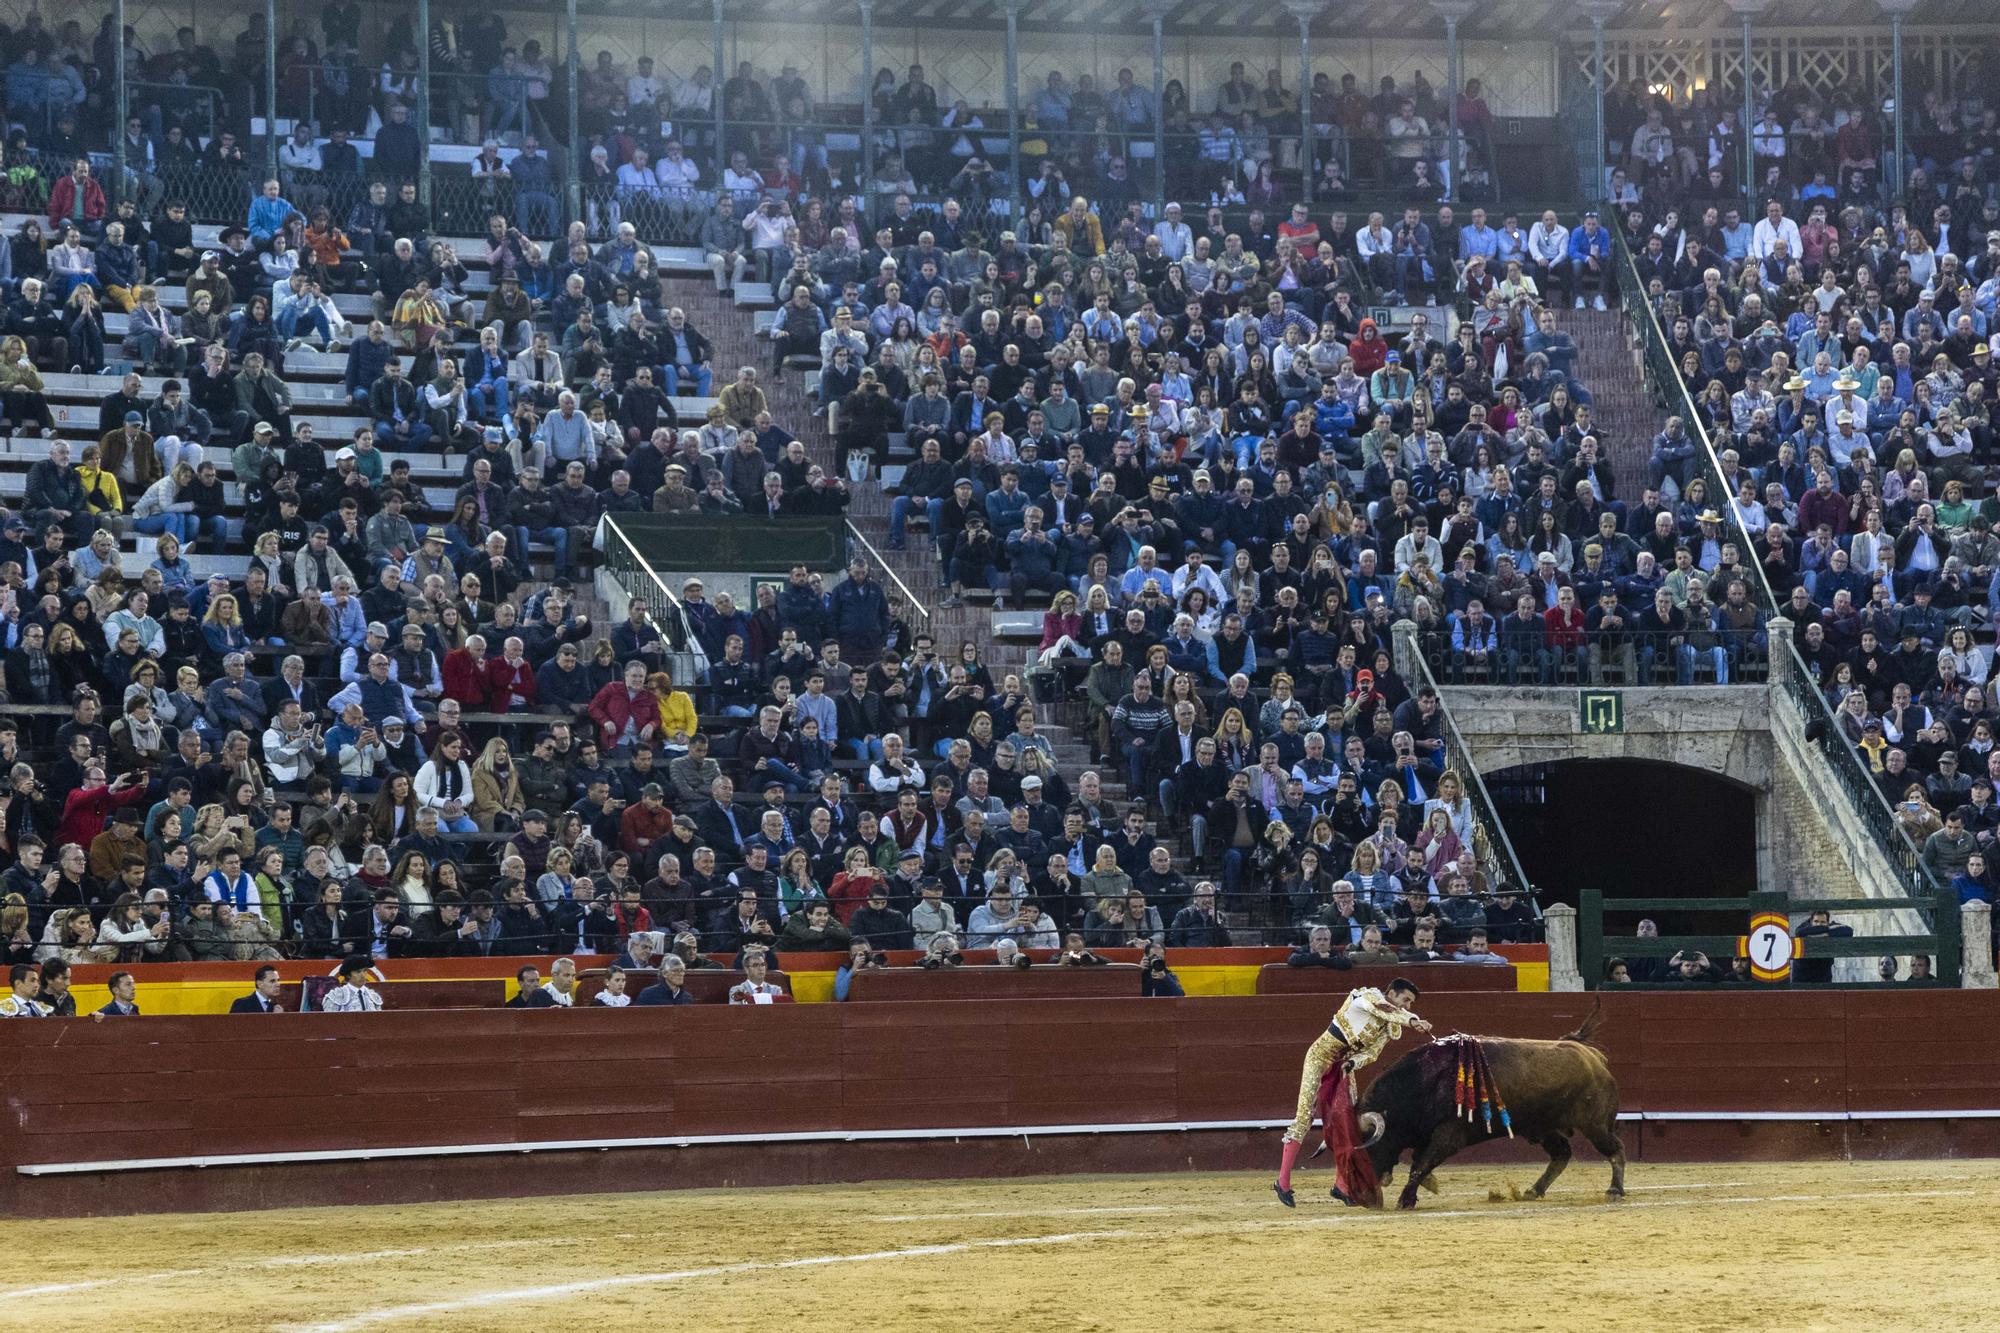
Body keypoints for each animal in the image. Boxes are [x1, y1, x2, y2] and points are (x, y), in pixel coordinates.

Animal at [1360, 1000, 1624, 1208]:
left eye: (1367, 1145)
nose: (1353, 1197)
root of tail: (1594, 1056)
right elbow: (1419, 1161)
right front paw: (1428, 1186)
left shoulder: (1449, 1134)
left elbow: (1421, 1164)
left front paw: (1406, 1200)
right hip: (1543, 1127)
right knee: (1562, 1154)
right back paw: (1533, 1190)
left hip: (1596, 1125)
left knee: (1615, 1149)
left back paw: (1614, 1191)